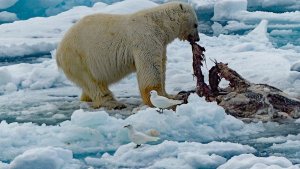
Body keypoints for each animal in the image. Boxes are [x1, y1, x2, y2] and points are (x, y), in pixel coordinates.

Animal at [56, 1, 199, 109]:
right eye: (196, 24)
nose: (197, 38)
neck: (158, 23)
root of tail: (59, 52)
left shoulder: (160, 44)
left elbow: (161, 66)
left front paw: (171, 95)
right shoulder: (145, 39)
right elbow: (151, 69)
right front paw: (157, 98)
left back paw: (87, 98)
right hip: (79, 59)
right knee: (93, 83)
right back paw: (114, 103)